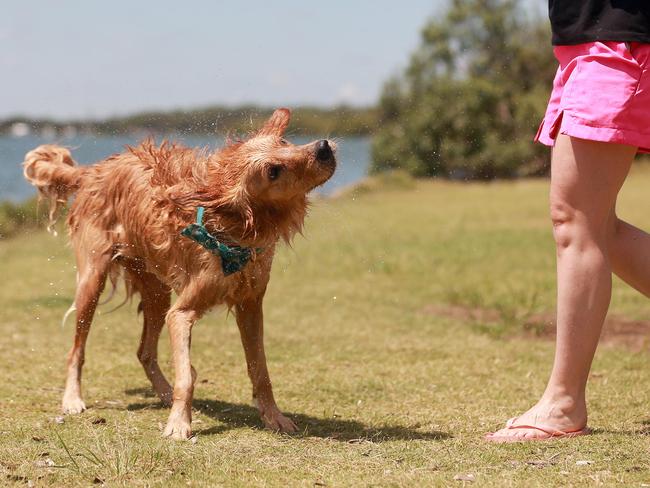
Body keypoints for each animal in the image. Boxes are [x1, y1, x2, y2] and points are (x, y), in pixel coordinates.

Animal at [21, 109, 334, 438]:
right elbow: (186, 376)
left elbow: (260, 370)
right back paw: (72, 398)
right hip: (92, 282)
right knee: (76, 350)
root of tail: (94, 170)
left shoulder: (250, 305)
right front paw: (179, 423)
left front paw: (274, 416)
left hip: (157, 292)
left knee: (144, 351)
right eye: (273, 171)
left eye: (284, 142)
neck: (231, 235)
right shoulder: (181, 313)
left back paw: (164, 392)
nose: (323, 147)